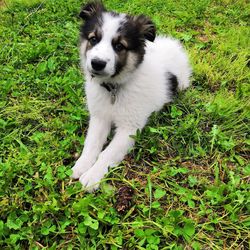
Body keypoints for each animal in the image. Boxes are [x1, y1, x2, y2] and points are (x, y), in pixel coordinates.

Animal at [70, 1, 191, 191]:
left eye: (119, 46)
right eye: (93, 39)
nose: (97, 64)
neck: (113, 89)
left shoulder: (129, 128)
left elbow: (107, 153)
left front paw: (92, 176)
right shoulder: (99, 118)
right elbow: (92, 144)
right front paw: (82, 165)